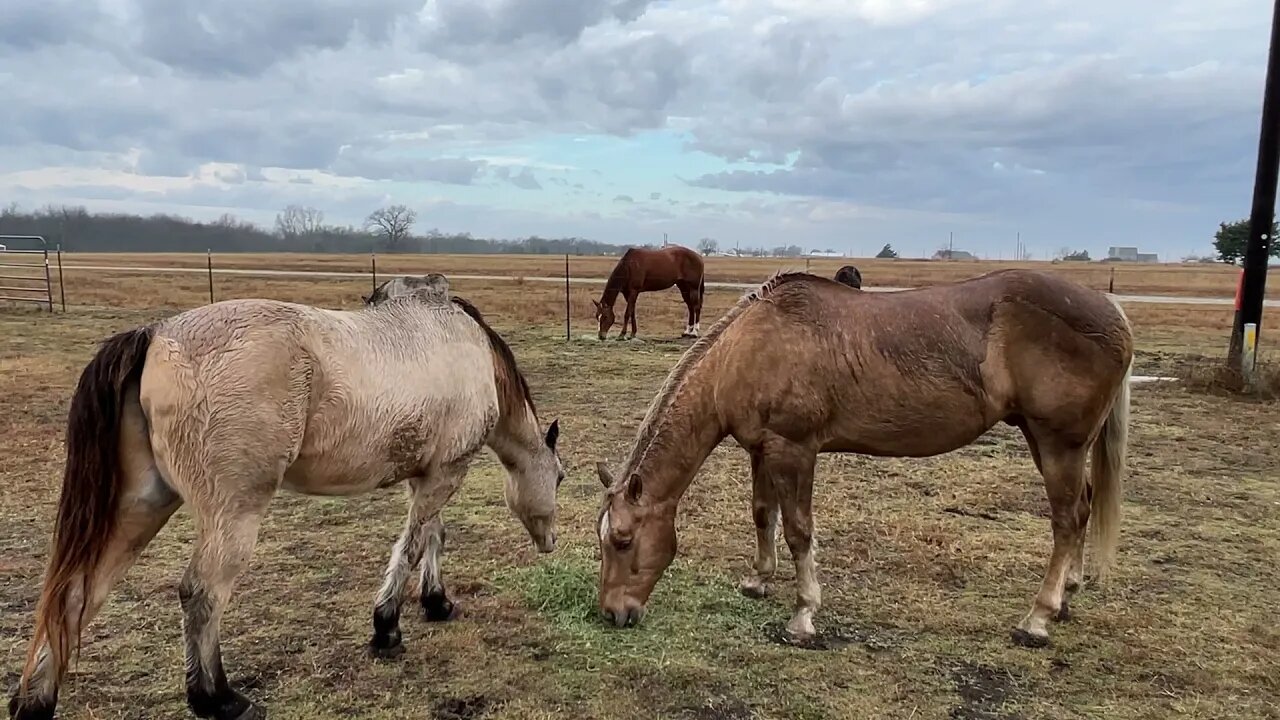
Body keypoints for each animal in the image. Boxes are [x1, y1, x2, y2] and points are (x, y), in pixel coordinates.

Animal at [8, 279, 560, 717]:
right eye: (560, 476)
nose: (550, 543)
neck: (466, 348)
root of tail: (157, 334)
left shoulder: (425, 476)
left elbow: (430, 538)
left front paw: (435, 602)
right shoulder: (445, 473)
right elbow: (412, 546)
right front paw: (387, 628)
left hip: (141, 506)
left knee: (77, 593)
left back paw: (34, 700)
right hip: (231, 515)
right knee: (201, 593)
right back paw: (217, 699)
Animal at [593, 266, 1136, 648]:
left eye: (622, 540)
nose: (612, 614)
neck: (750, 347)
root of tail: (1110, 309)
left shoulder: (795, 450)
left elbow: (799, 532)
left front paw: (803, 616)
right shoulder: (762, 450)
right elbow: (763, 514)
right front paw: (759, 580)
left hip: (1059, 444)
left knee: (1066, 520)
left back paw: (1037, 619)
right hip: (1050, 443)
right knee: (1083, 509)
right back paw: (1066, 596)